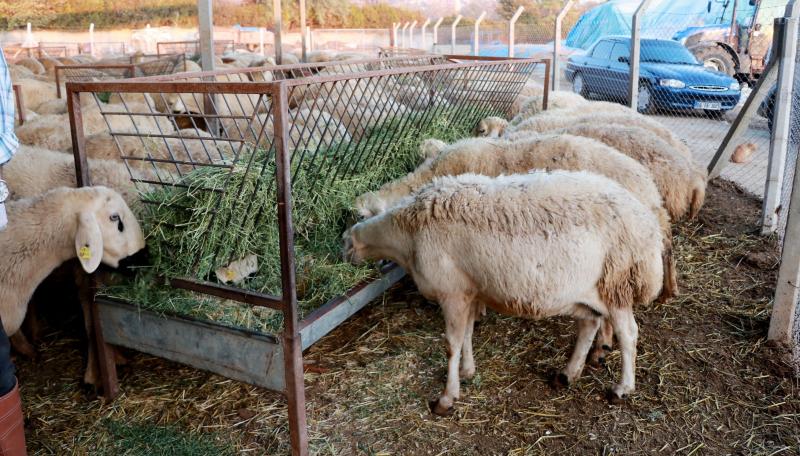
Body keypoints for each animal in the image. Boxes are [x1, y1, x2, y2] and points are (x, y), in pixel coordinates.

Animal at [344, 171, 664, 414]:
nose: (346, 253)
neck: (407, 235)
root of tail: (647, 224)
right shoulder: (470, 291)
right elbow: (468, 334)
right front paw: (467, 371)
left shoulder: (452, 292)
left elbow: (451, 344)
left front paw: (446, 397)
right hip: (587, 290)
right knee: (590, 324)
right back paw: (567, 374)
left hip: (615, 284)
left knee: (628, 334)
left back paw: (622, 388)